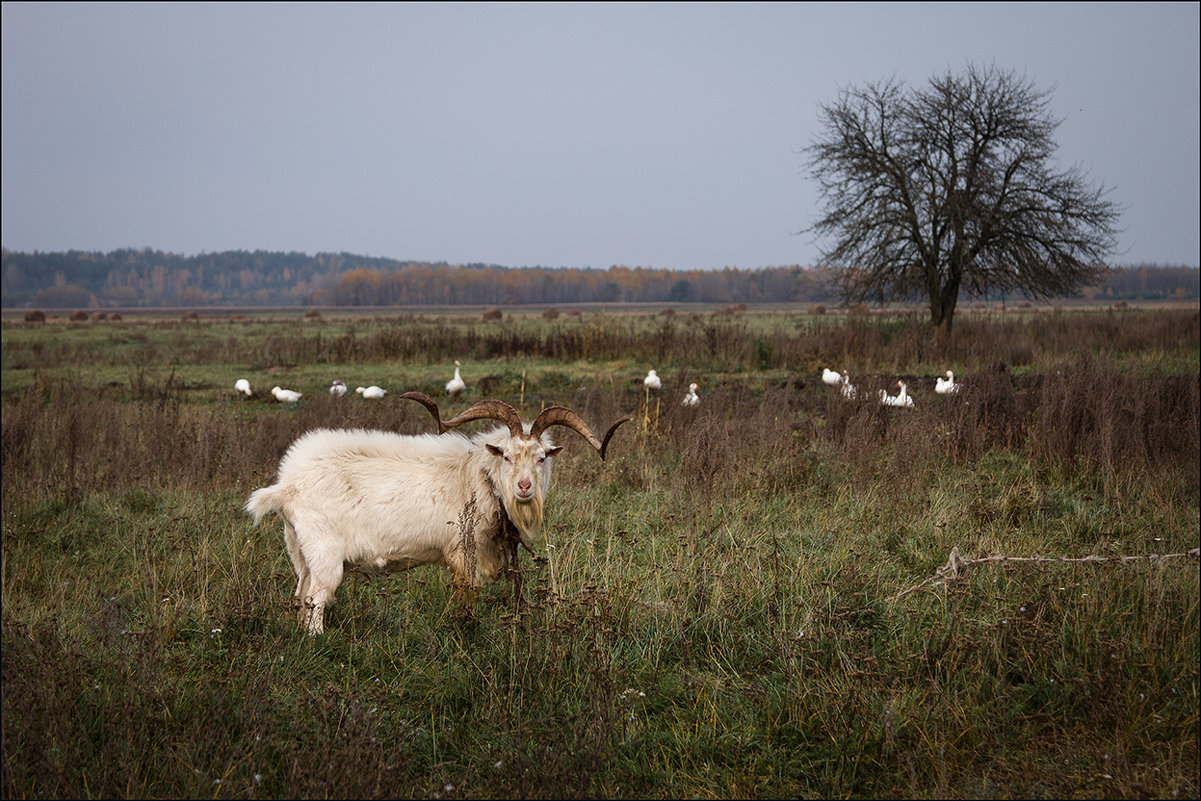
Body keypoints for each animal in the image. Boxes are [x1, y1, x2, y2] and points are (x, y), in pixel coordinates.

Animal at [248, 389, 634, 634]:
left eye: (541, 458)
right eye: (507, 456)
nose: (524, 487)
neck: (478, 477)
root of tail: (288, 485)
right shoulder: (463, 555)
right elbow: (466, 598)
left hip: (300, 551)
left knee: (301, 596)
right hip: (325, 553)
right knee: (316, 599)